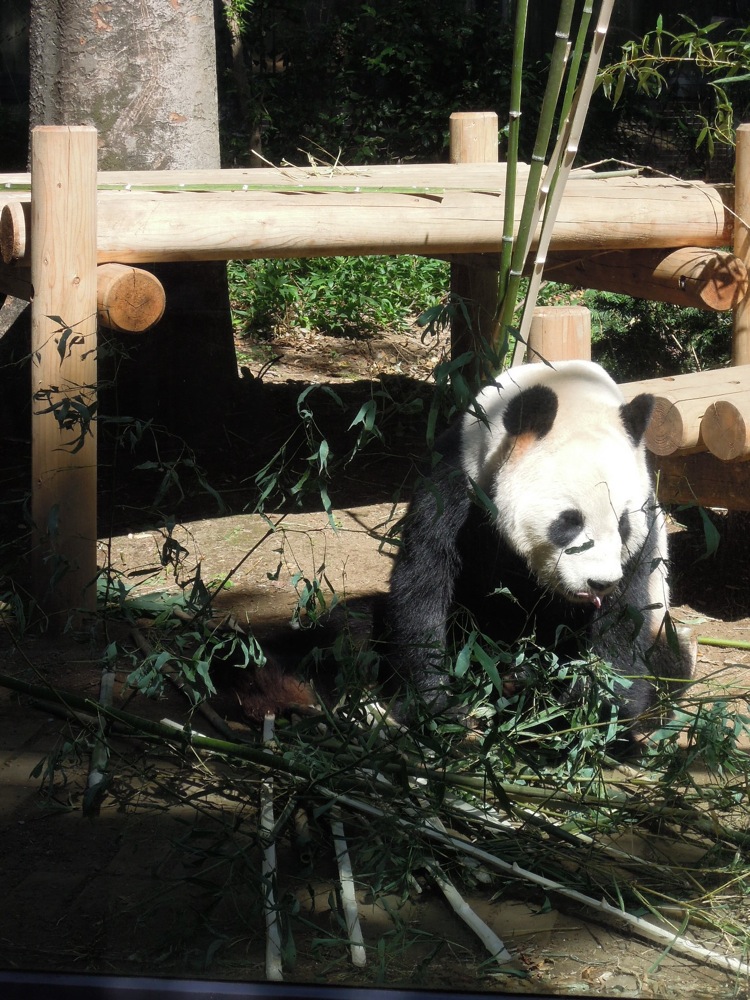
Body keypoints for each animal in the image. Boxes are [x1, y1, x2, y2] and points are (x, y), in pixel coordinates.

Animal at [379, 359, 695, 740]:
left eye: (623, 525)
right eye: (570, 521)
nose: (599, 583)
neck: (571, 390)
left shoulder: (644, 527)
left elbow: (623, 619)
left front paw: (596, 712)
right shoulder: (458, 483)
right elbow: (426, 582)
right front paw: (436, 706)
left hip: (662, 628)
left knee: (670, 659)